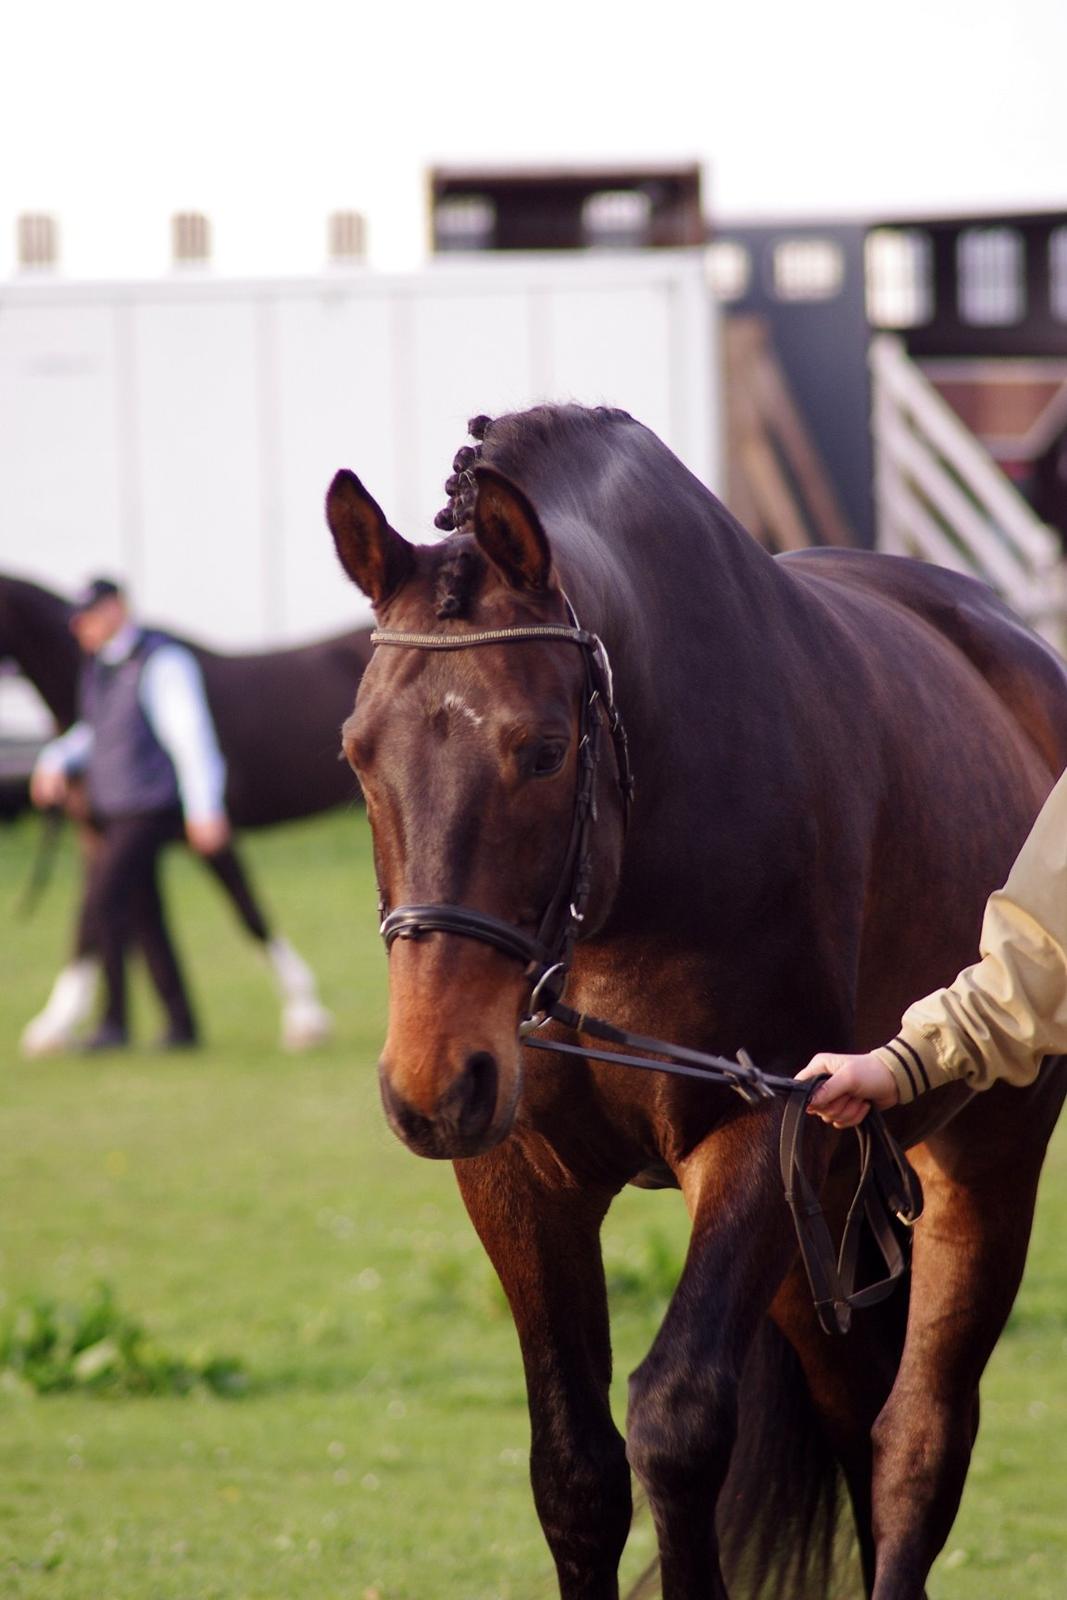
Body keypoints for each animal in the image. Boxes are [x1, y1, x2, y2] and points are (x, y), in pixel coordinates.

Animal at [0, 576, 374, 1049]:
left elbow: (249, 913)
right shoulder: (102, 836)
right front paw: (67, 1024)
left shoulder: (208, 830)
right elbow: (101, 919)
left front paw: (305, 1017)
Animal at [323, 406, 1067, 1593]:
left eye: (543, 750)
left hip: (978, 1166)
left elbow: (675, 1424)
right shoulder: (516, 1173)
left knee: (914, 1439)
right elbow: (574, 1470)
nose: (433, 1083)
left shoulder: (764, 1125)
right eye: (356, 753)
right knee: (856, 1413)